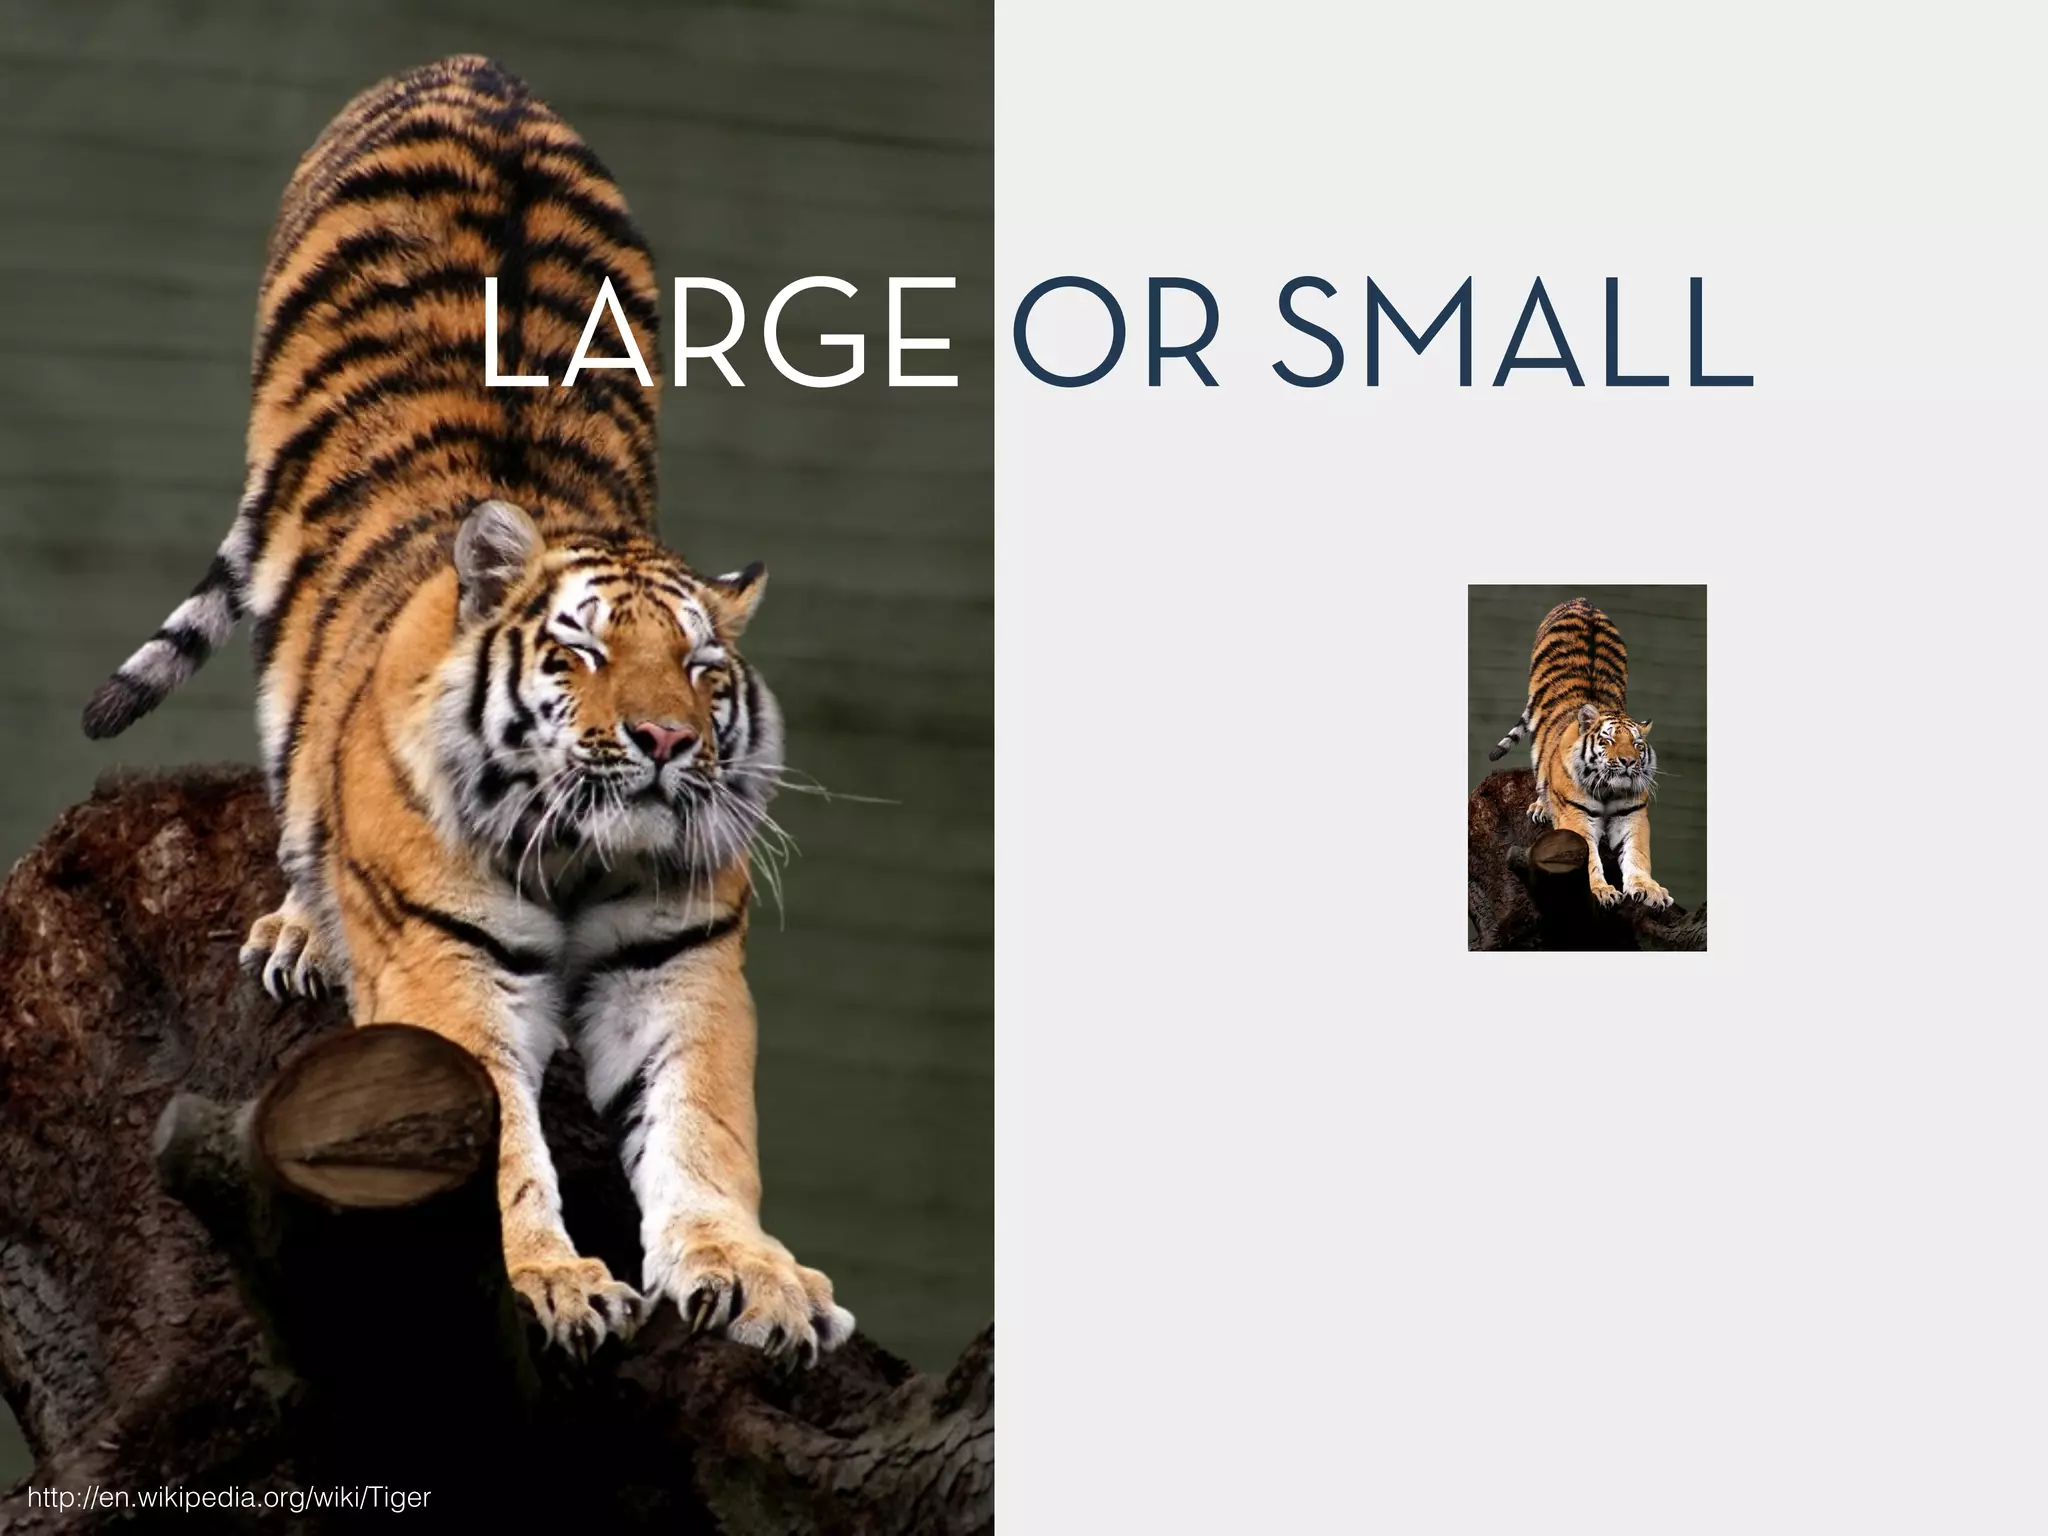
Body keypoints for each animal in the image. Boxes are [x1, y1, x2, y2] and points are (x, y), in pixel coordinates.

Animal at [80, 55, 853, 1364]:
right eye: (582, 651)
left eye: (701, 670)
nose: (664, 743)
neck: (588, 856)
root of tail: (474, 70)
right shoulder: (445, 968)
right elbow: (490, 1139)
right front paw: (549, 1282)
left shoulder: (678, 962)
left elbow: (704, 1128)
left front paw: (751, 1277)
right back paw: (301, 929)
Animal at [1486, 597, 1672, 908]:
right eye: (1608, 740)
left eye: (1637, 744)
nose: (1628, 762)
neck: (1609, 789)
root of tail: (1582, 601)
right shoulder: (1576, 816)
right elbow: (1588, 858)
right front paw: (1602, 890)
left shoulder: (1632, 815)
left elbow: (1638, 855)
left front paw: (1649, 889)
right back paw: (1541, 806)